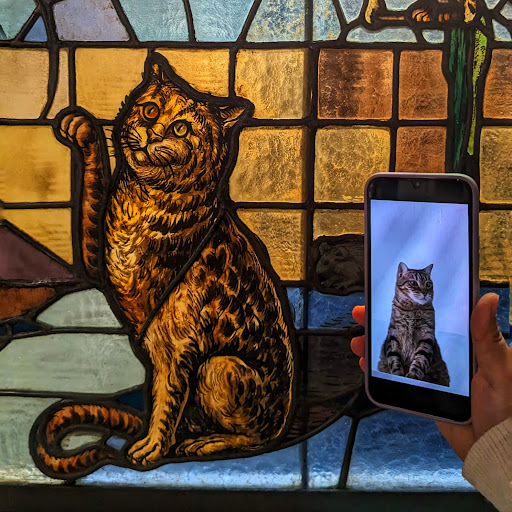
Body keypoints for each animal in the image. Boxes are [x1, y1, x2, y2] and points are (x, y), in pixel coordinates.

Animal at [30, 53, 295, 479]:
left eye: (181, 128)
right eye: (151, 110)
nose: (151, 135)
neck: (143, 199)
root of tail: (285, 417)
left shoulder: (178, 344)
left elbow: (167, 399)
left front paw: (153, 450)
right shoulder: (100, 258)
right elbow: (92, 197)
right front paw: (83, 129)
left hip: (218, 366)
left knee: (256, 437)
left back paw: (205, 443)